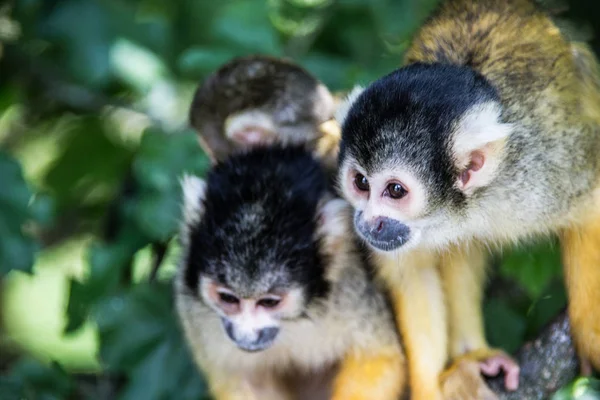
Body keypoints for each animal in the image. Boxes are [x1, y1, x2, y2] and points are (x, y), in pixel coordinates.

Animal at [173, 145, 408, 400]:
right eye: (228, 298)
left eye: (269, 302)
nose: (247, 337)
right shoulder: (194, 313)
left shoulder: (349, 289)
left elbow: (378, 358)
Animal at [336, 0, 600, 398]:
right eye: (361, 182)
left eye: (395, 190)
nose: (366, 222)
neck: (471, 200)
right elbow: (414, 272)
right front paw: (428, 388)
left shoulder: (546, 172)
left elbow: (591, 204)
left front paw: (591, 324)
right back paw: (471, 355)